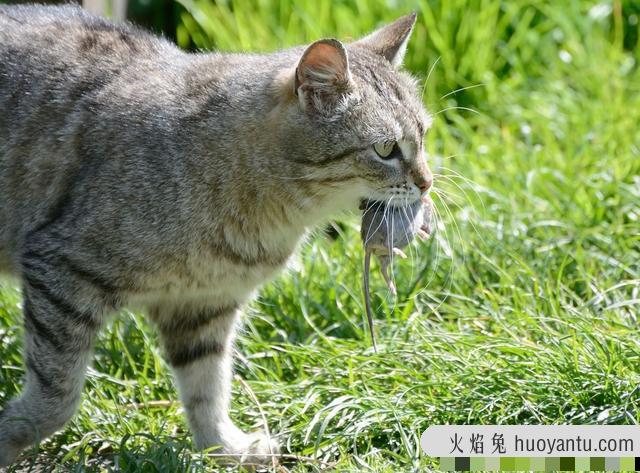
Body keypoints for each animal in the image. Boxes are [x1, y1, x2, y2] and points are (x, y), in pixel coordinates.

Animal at [0, 4, 432, 464]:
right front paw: (11, 433)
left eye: (424, 136)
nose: (427, 183)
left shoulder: (204, 305)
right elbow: (57, 397)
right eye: (386, 149)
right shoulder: (62, 269)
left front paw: (223, 446)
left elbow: (208, 388)